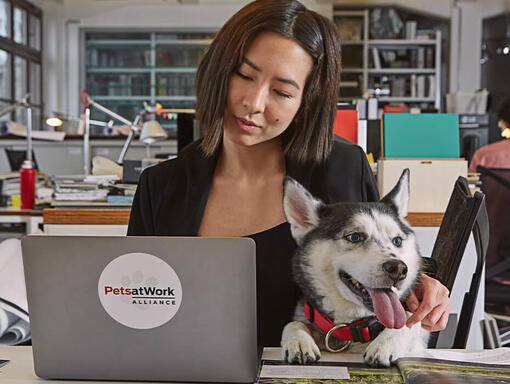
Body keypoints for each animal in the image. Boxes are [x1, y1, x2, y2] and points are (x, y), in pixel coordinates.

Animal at [280, 170, 428, 366]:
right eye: (355, 237)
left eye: (397, 240)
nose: (399, 269)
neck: (351, 328)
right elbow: (293, 323)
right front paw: (299, 340)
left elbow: (409, 321)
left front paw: (385, 344)